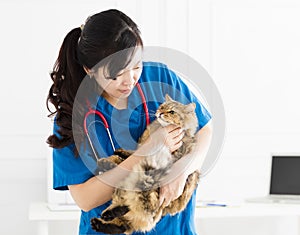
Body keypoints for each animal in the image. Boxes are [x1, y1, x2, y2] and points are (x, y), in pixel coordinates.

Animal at [90, 94, 200, 234]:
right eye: (162, 107)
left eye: (172, 112)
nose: (160, 113)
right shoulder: (142, 147)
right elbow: (130, 154)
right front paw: (119, 153)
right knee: (122, 222)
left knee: (127, 212)